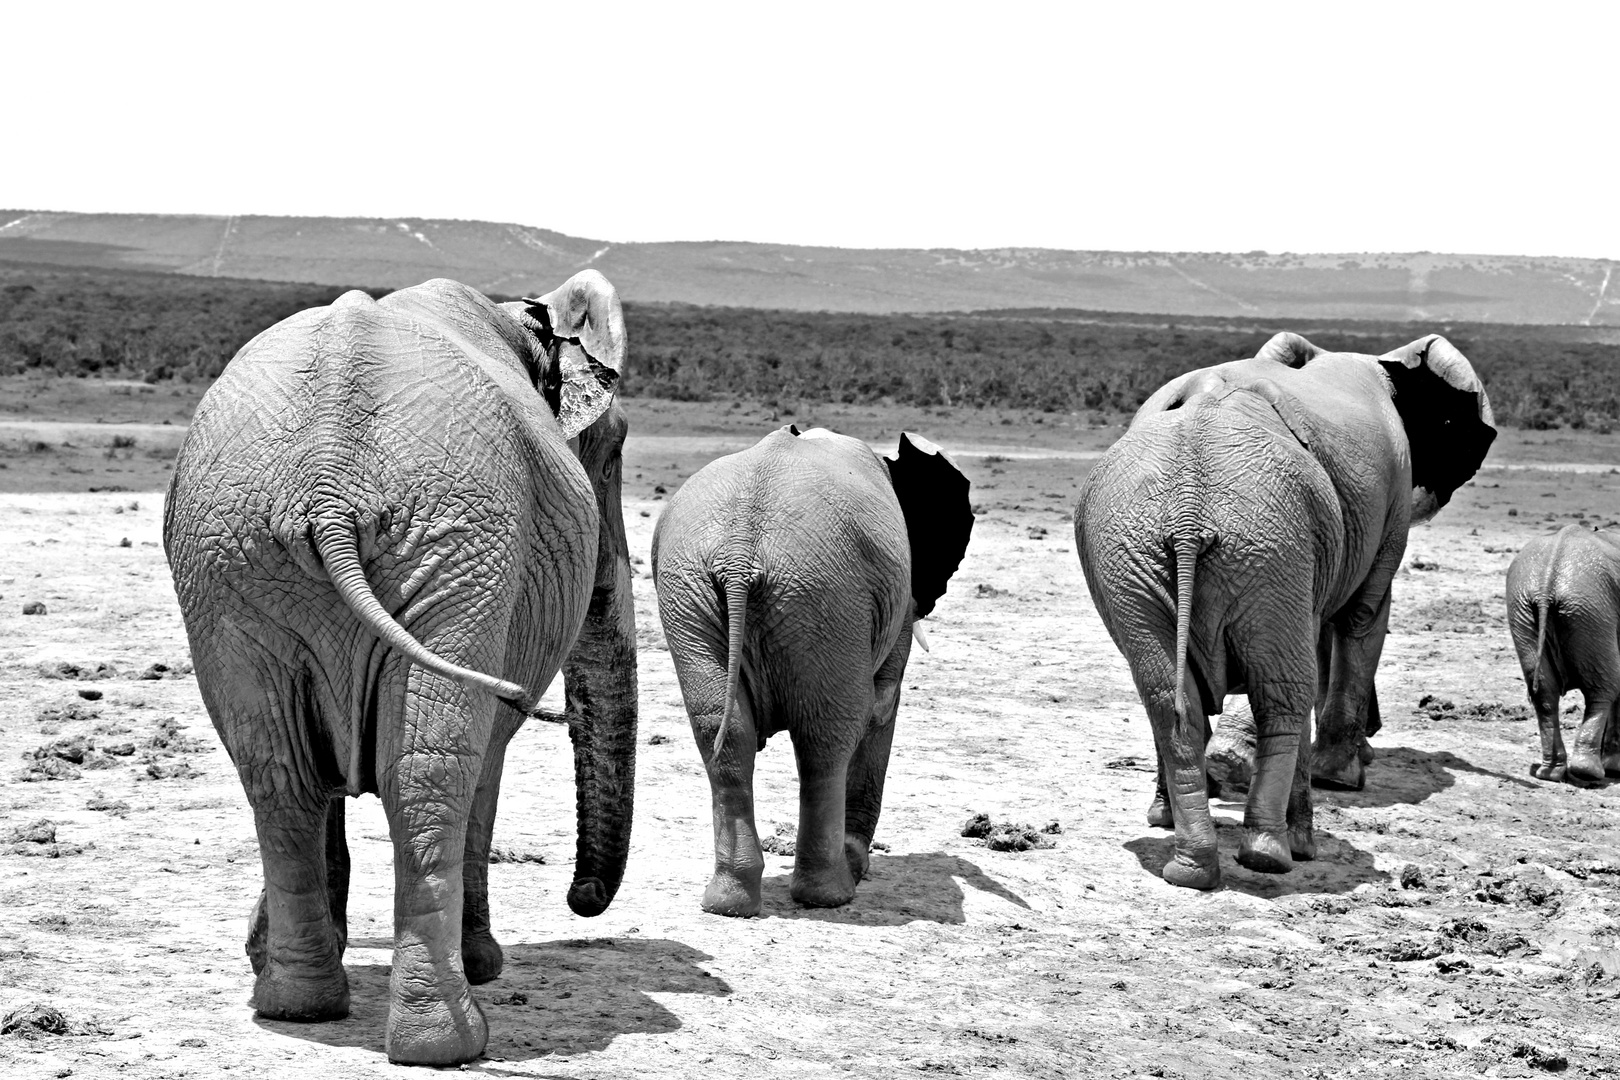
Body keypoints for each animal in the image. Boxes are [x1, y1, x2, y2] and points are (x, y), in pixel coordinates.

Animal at [162, 272, 638, 1062]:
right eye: (612, 448)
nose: (581, 901)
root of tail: (328, 483)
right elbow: (485, 761)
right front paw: (485, 964)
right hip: (453, 541)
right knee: (430, 770)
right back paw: (449, 1041)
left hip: (238, 555)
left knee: (280, 772)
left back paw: (298, 1006)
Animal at [648, 427, 972, 919]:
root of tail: (739, 555)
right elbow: (882, 705)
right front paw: (858, 864)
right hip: (826, 595)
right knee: (828, 739)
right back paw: (832, 895)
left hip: (693, 595)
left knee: (724, 732)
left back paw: (729, 903)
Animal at [1075, 333, 1490, 893]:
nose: (1374, 738)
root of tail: (1187, 516)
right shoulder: (1392, 506)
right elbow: (1362, 619)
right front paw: (1343, 776)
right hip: (1267, 544)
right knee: (1283, 691)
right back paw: (1277, 852)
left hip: (1133, 545)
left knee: (1168, 696)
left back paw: (1187, 861)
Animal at [1503, 524, 1620, 786]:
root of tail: (1547, 584)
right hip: (1593, 612)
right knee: (1604, 689)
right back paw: (1590, 773)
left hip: (1523, 611)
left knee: (1544, 692)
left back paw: (1551, 773)